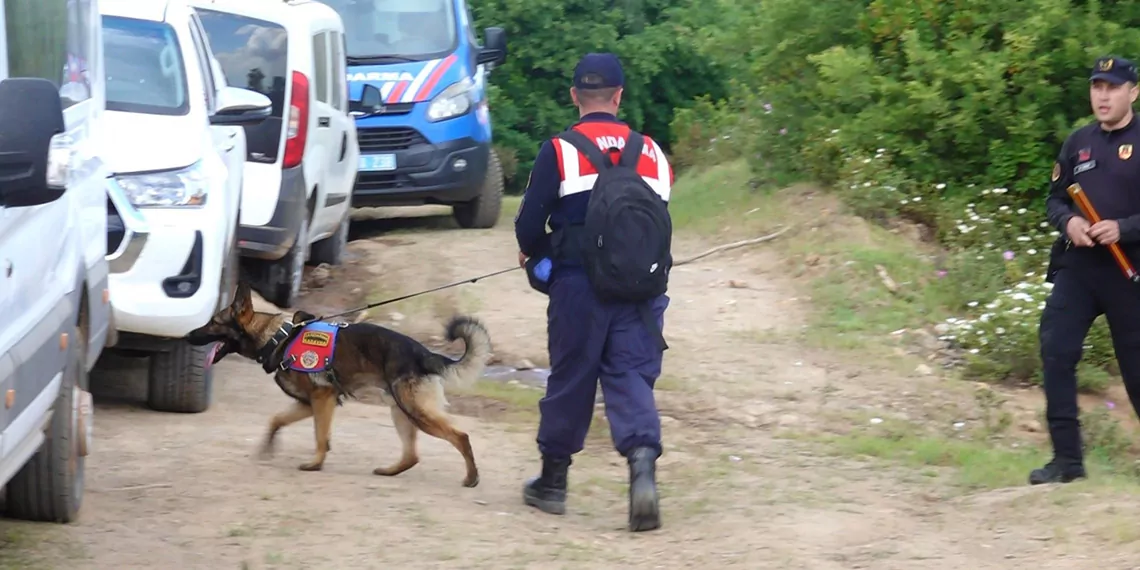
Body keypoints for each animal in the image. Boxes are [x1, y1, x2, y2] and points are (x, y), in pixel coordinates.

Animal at [183, 282, 490, 487]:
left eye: (214, 322)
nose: (187, 335)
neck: (277, 337)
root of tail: (425, 353)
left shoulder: (323, 398)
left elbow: (319, 436)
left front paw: (315, 464)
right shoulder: (307, 403)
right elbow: (276, 420)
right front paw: (268, 448)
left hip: (416, 411)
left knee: (460, 436)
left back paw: (472, 477)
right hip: (401, 411)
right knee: (412, 455)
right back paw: (389, 471)